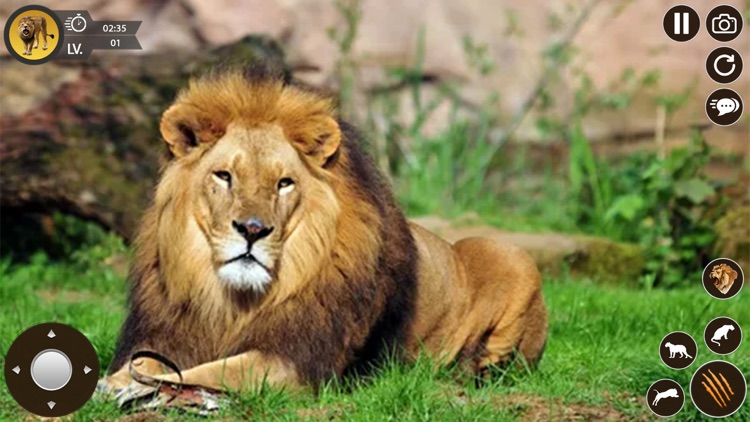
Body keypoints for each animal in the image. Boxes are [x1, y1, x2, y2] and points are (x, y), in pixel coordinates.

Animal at [98, 65, 548, 409]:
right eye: (224, 176)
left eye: (284, 183)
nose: (253, 230)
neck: (232, 301)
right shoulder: (170, 331)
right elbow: (151, 363)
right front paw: (118, 380)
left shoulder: (293, 362)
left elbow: (209, 371)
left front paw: (135, 388)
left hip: (508, 253)